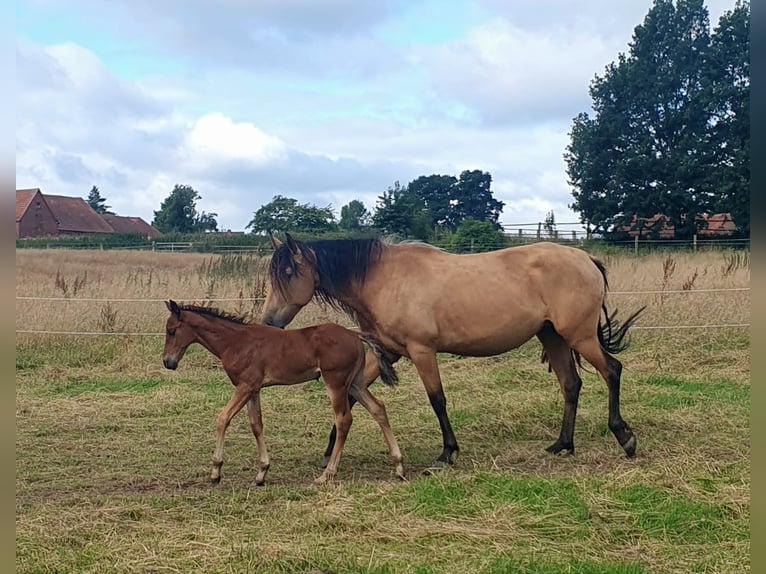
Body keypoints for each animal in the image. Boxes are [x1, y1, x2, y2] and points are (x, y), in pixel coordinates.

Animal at [260, 236, 644, 470]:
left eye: (289, 272)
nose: (269, 322)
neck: (383, 279)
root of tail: (586, 259)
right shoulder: (388, 352)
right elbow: (354, 397)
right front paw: (328, 452)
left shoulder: (421, 351)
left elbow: (437, 400)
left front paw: (447, 453)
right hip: (553, 337)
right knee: (571, 384)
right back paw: (562, 444)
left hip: (579, 336)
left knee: (612, 370)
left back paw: (624, 438)